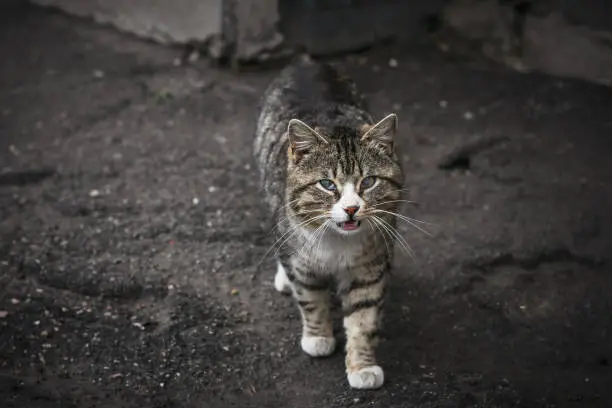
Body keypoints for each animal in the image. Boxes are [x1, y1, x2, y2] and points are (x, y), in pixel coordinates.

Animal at [251, 55, 404, 388]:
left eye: (368, 182)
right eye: (327, 184)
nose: (351, 208)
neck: (338, 242)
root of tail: (307, 61)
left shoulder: (370, 266)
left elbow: (363, 317)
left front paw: (362, 367)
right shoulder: (302, 261)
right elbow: (310, 298)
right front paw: (318, 338)